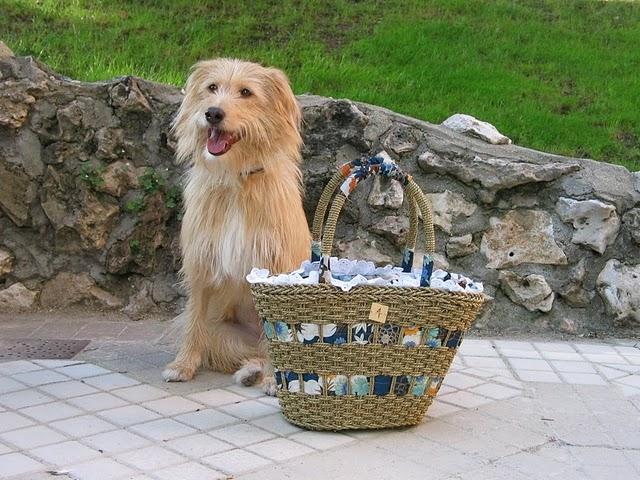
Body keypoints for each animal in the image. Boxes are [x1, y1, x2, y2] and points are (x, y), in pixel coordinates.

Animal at [164, 58, 312, 394]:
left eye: (246, 92)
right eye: (212, 88)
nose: (213, 113)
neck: (236, 181)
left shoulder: (275, 266)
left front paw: (273, 379)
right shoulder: (201, 263)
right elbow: (194, 320)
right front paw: (183, 365)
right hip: (221, 332)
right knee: (243, 349)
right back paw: (250, 372)